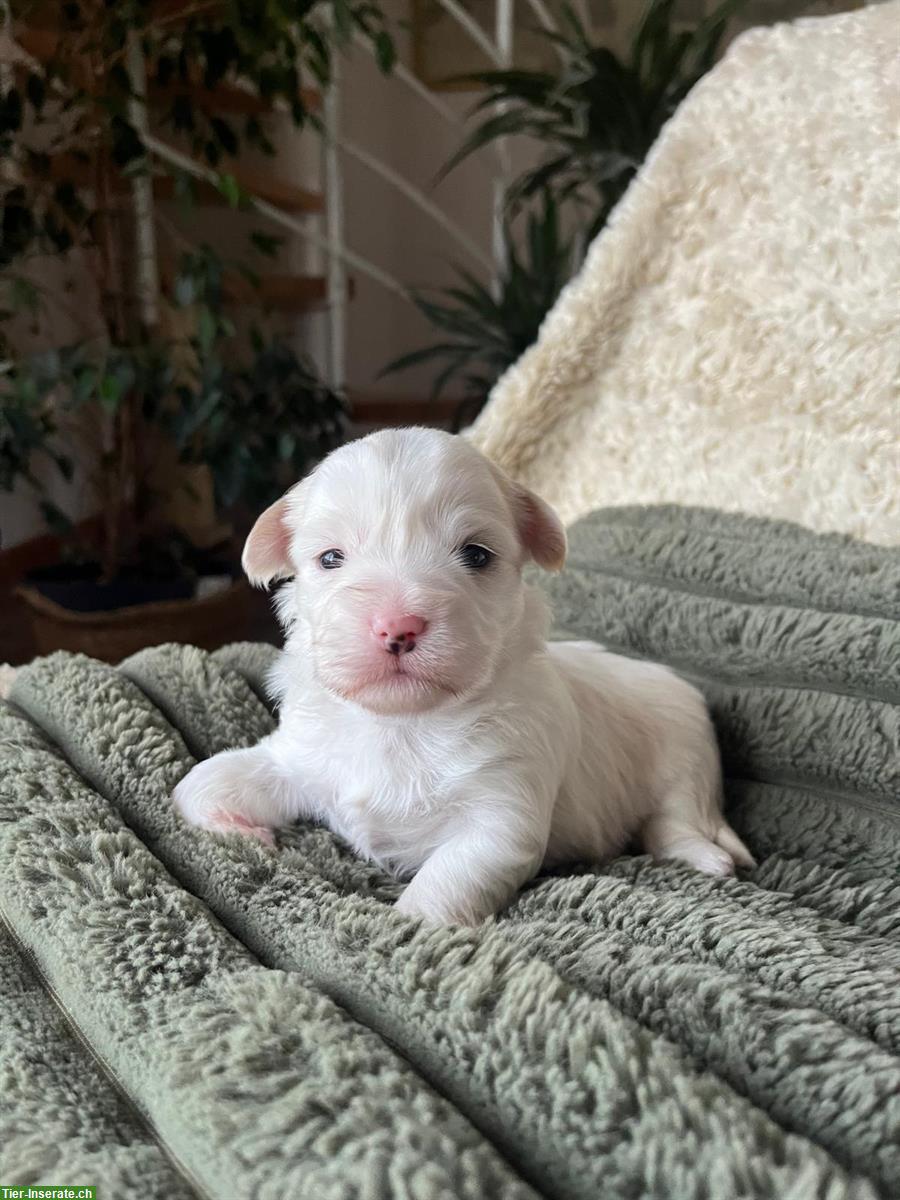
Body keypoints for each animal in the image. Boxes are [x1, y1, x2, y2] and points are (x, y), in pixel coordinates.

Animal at [174, 427, 753, 921]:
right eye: (331, 558)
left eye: (475, 554)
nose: (397, 626)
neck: (401, 724)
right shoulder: (300, 756)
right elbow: (200, 784)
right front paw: (245, 833)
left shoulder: (502, 809)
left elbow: (446, 881)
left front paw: (408, 930)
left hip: (684, 759)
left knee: (676, 821)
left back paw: (707, 859)